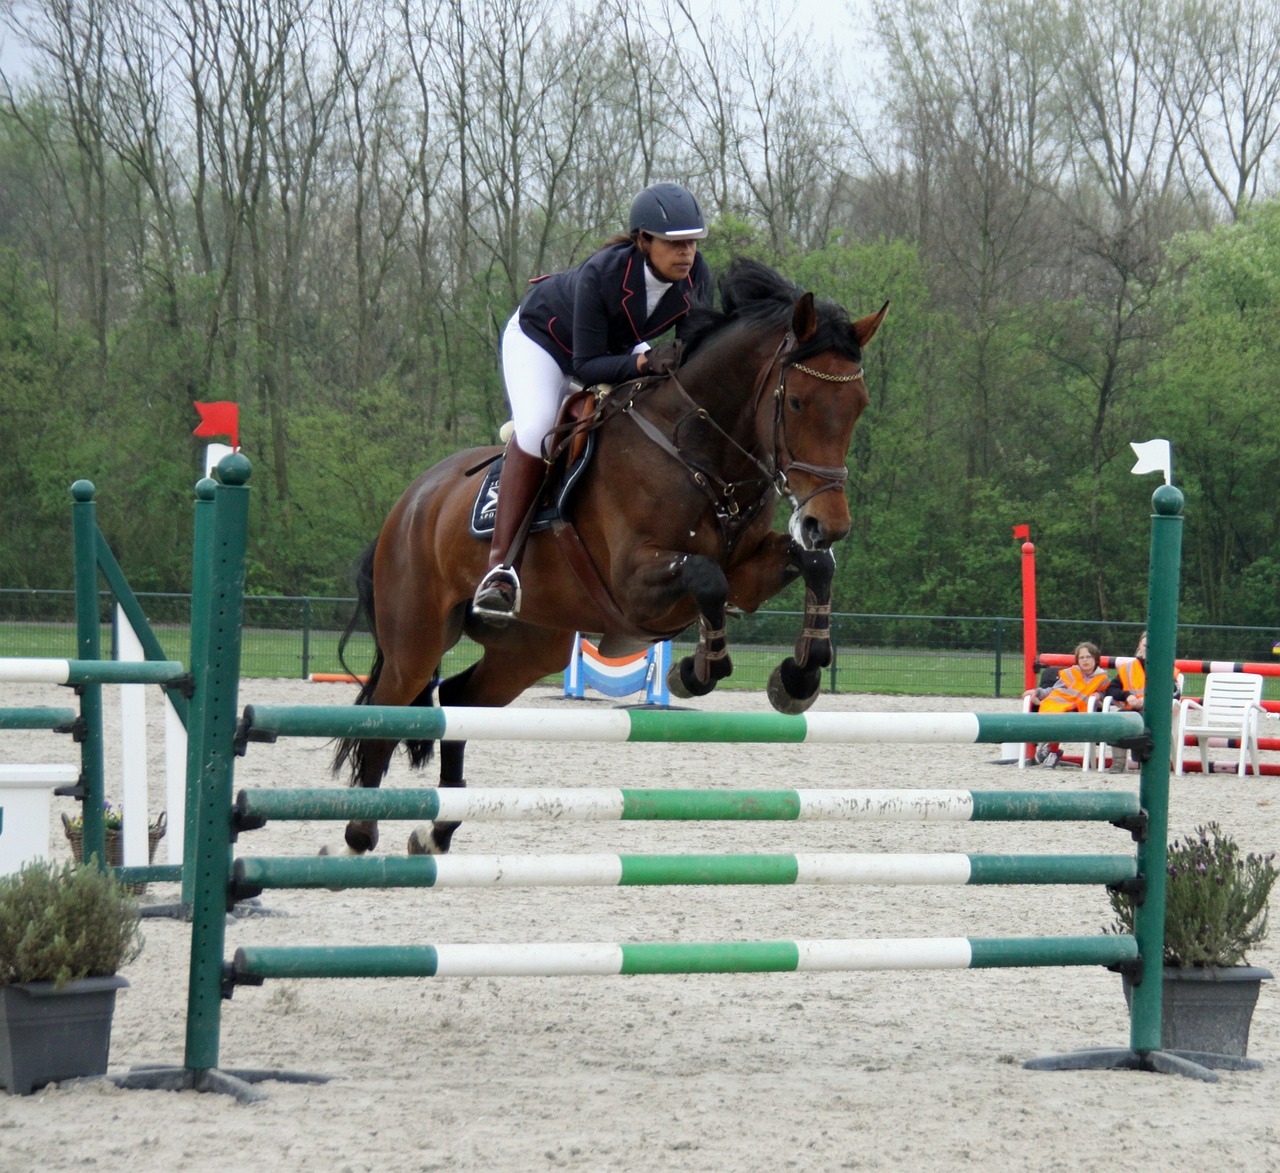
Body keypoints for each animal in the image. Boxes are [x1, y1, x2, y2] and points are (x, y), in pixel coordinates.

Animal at [335, 261, 885, 855]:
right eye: (798, 402)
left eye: (859, 406)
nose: (827, 525)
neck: (695, 449)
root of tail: (410, 502)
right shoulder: (636, 585)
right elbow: (706, 577)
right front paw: (695, 672)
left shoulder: (749, 575)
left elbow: (814, 568)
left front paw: (799, 676)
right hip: (416, 638)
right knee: (386, 714)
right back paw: (358, 837)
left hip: (529, 648)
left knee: (459, 700)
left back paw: (434, 832)